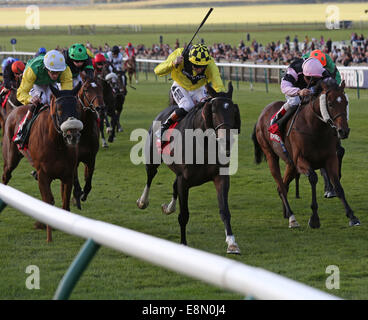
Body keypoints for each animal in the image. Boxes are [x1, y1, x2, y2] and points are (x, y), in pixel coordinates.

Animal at [2, 84, 84, 241]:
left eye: (78, 107)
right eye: (59, 109)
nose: (72, 135)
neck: (57, 143)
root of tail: (14, 111)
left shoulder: (67, 175)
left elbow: (64, 202)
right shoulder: (43, 175)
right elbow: (48, 200)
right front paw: (46, 232)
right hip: (11, 159)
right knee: (5, 175)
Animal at [135, 83, 242, 255]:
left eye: (233, 111)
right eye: (213, 111)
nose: (226, 141)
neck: (204, 143)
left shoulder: (220, 177)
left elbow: (224, 210)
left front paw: (232, 243)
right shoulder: (184, 180)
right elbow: (184, 214)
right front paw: (183, 244)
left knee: (172, 186)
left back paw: (169, 208)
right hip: (153, 159)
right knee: (150, 177)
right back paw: (143, 201)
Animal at [252, 79, 360, 229]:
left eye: (346, 102)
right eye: (330, 104)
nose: (343, 131)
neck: (315, 128)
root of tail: (262, 113)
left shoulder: (330, 159)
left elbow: (337, 186)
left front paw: (352, 216)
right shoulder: (301, 161)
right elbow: (313, 178)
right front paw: (314, 219)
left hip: (290, 164)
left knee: (282, 186)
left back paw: (286, 213)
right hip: (270, 155)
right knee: (281, 186)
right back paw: (292, 218)